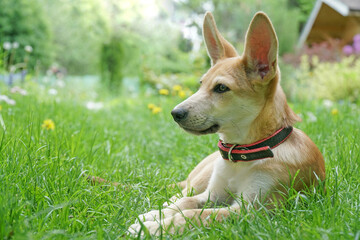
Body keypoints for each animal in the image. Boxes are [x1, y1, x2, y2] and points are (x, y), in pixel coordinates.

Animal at [128, 10, 324, 234]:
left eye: (221, 88)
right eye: (201, 84)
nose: (175, 113)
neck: (241, 155)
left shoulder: (251, 209)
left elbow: (195, 215)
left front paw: (153, 227)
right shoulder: (211, 195)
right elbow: (185, 204)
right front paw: (154, 217)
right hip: (200, 179)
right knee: (179, 195)